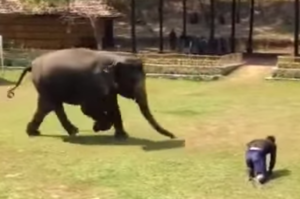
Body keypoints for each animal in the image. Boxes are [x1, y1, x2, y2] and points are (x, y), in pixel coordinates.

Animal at [6, 48, 176, 140]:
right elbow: (87, 108)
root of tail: (32, 64)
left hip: (46, 86)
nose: (174, 136)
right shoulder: (94, 84)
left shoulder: (109, 86)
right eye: (133, 80)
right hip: (45, 85)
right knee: (50, 106)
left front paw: (122, 136)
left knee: (48, 107)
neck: (114, 58)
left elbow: (114, 107)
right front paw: (98, 127)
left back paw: (40, 132)